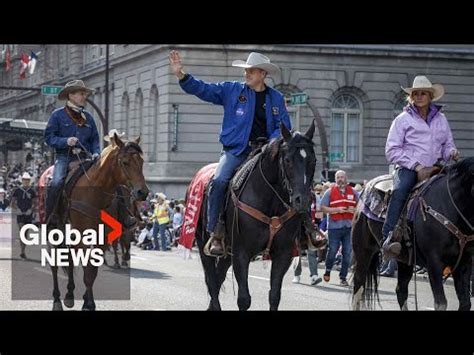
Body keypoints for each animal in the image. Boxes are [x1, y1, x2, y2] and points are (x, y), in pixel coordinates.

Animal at [194, 121, 316, 310]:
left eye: (313, 160)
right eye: (287, 160)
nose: (301, 200)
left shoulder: (283, 254)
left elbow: (274, 296)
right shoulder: (241, 252)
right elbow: (244, 299)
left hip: (227, 253)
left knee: (218, 277)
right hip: (203, 245)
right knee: (212, 282)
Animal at [352, 159, 474, 312]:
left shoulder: (463, 263)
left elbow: (465, 303)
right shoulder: (434, 262)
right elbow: (441, 303)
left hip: (404, 258)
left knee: (401, 291)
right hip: (363, 251)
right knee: (358, 284)